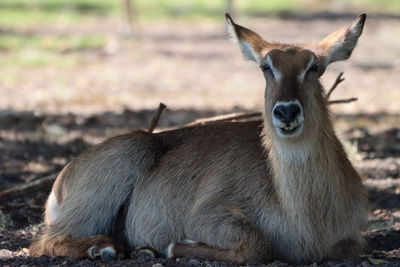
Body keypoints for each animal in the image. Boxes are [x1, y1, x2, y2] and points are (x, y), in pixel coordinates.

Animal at [30, 13, 368, 264]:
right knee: (44, 242)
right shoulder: (207, 213)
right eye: (265, 67)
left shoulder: (352, 239)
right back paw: (106, 247)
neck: (306, 214)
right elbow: (257, 246)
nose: (286, 111)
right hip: (130, 150)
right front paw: (174, 246)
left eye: (314, 67)